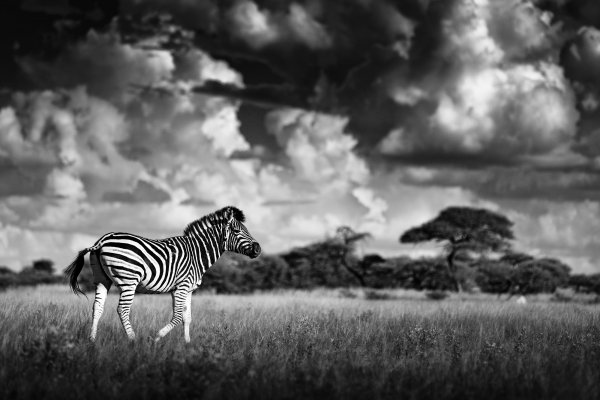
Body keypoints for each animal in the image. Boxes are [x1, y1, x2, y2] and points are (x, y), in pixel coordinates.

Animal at [63, 206, 260, 344]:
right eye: (237, 231)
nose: (258, 249)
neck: (197, 253)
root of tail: (103, 240)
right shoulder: (181, 287)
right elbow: (178, 316)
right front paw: (156, 338)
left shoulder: (187, 289)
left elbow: (187, 317)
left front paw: (187, 344)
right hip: (129, 280)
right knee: (123, 309)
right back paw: (133, 340)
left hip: (101, 278)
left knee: (97, 308)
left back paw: (92, 340)